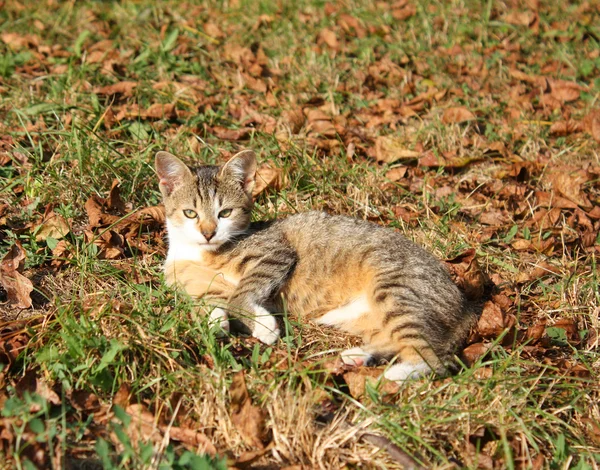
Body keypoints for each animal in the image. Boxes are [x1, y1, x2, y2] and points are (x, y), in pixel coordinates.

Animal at [155, 151, 474, 382]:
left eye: (225, 213)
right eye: (190, 213)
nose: (208, 233)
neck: (200, 253)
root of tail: (463, 305)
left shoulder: (274, 253)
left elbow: (240, 294)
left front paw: (263, 325)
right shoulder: (188, 282)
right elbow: (209, 301)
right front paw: (216, 321)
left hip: (394, 289)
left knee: (434, 358)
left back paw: (397, 373)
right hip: (361, 316)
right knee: (393, 340)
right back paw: (359, 357)